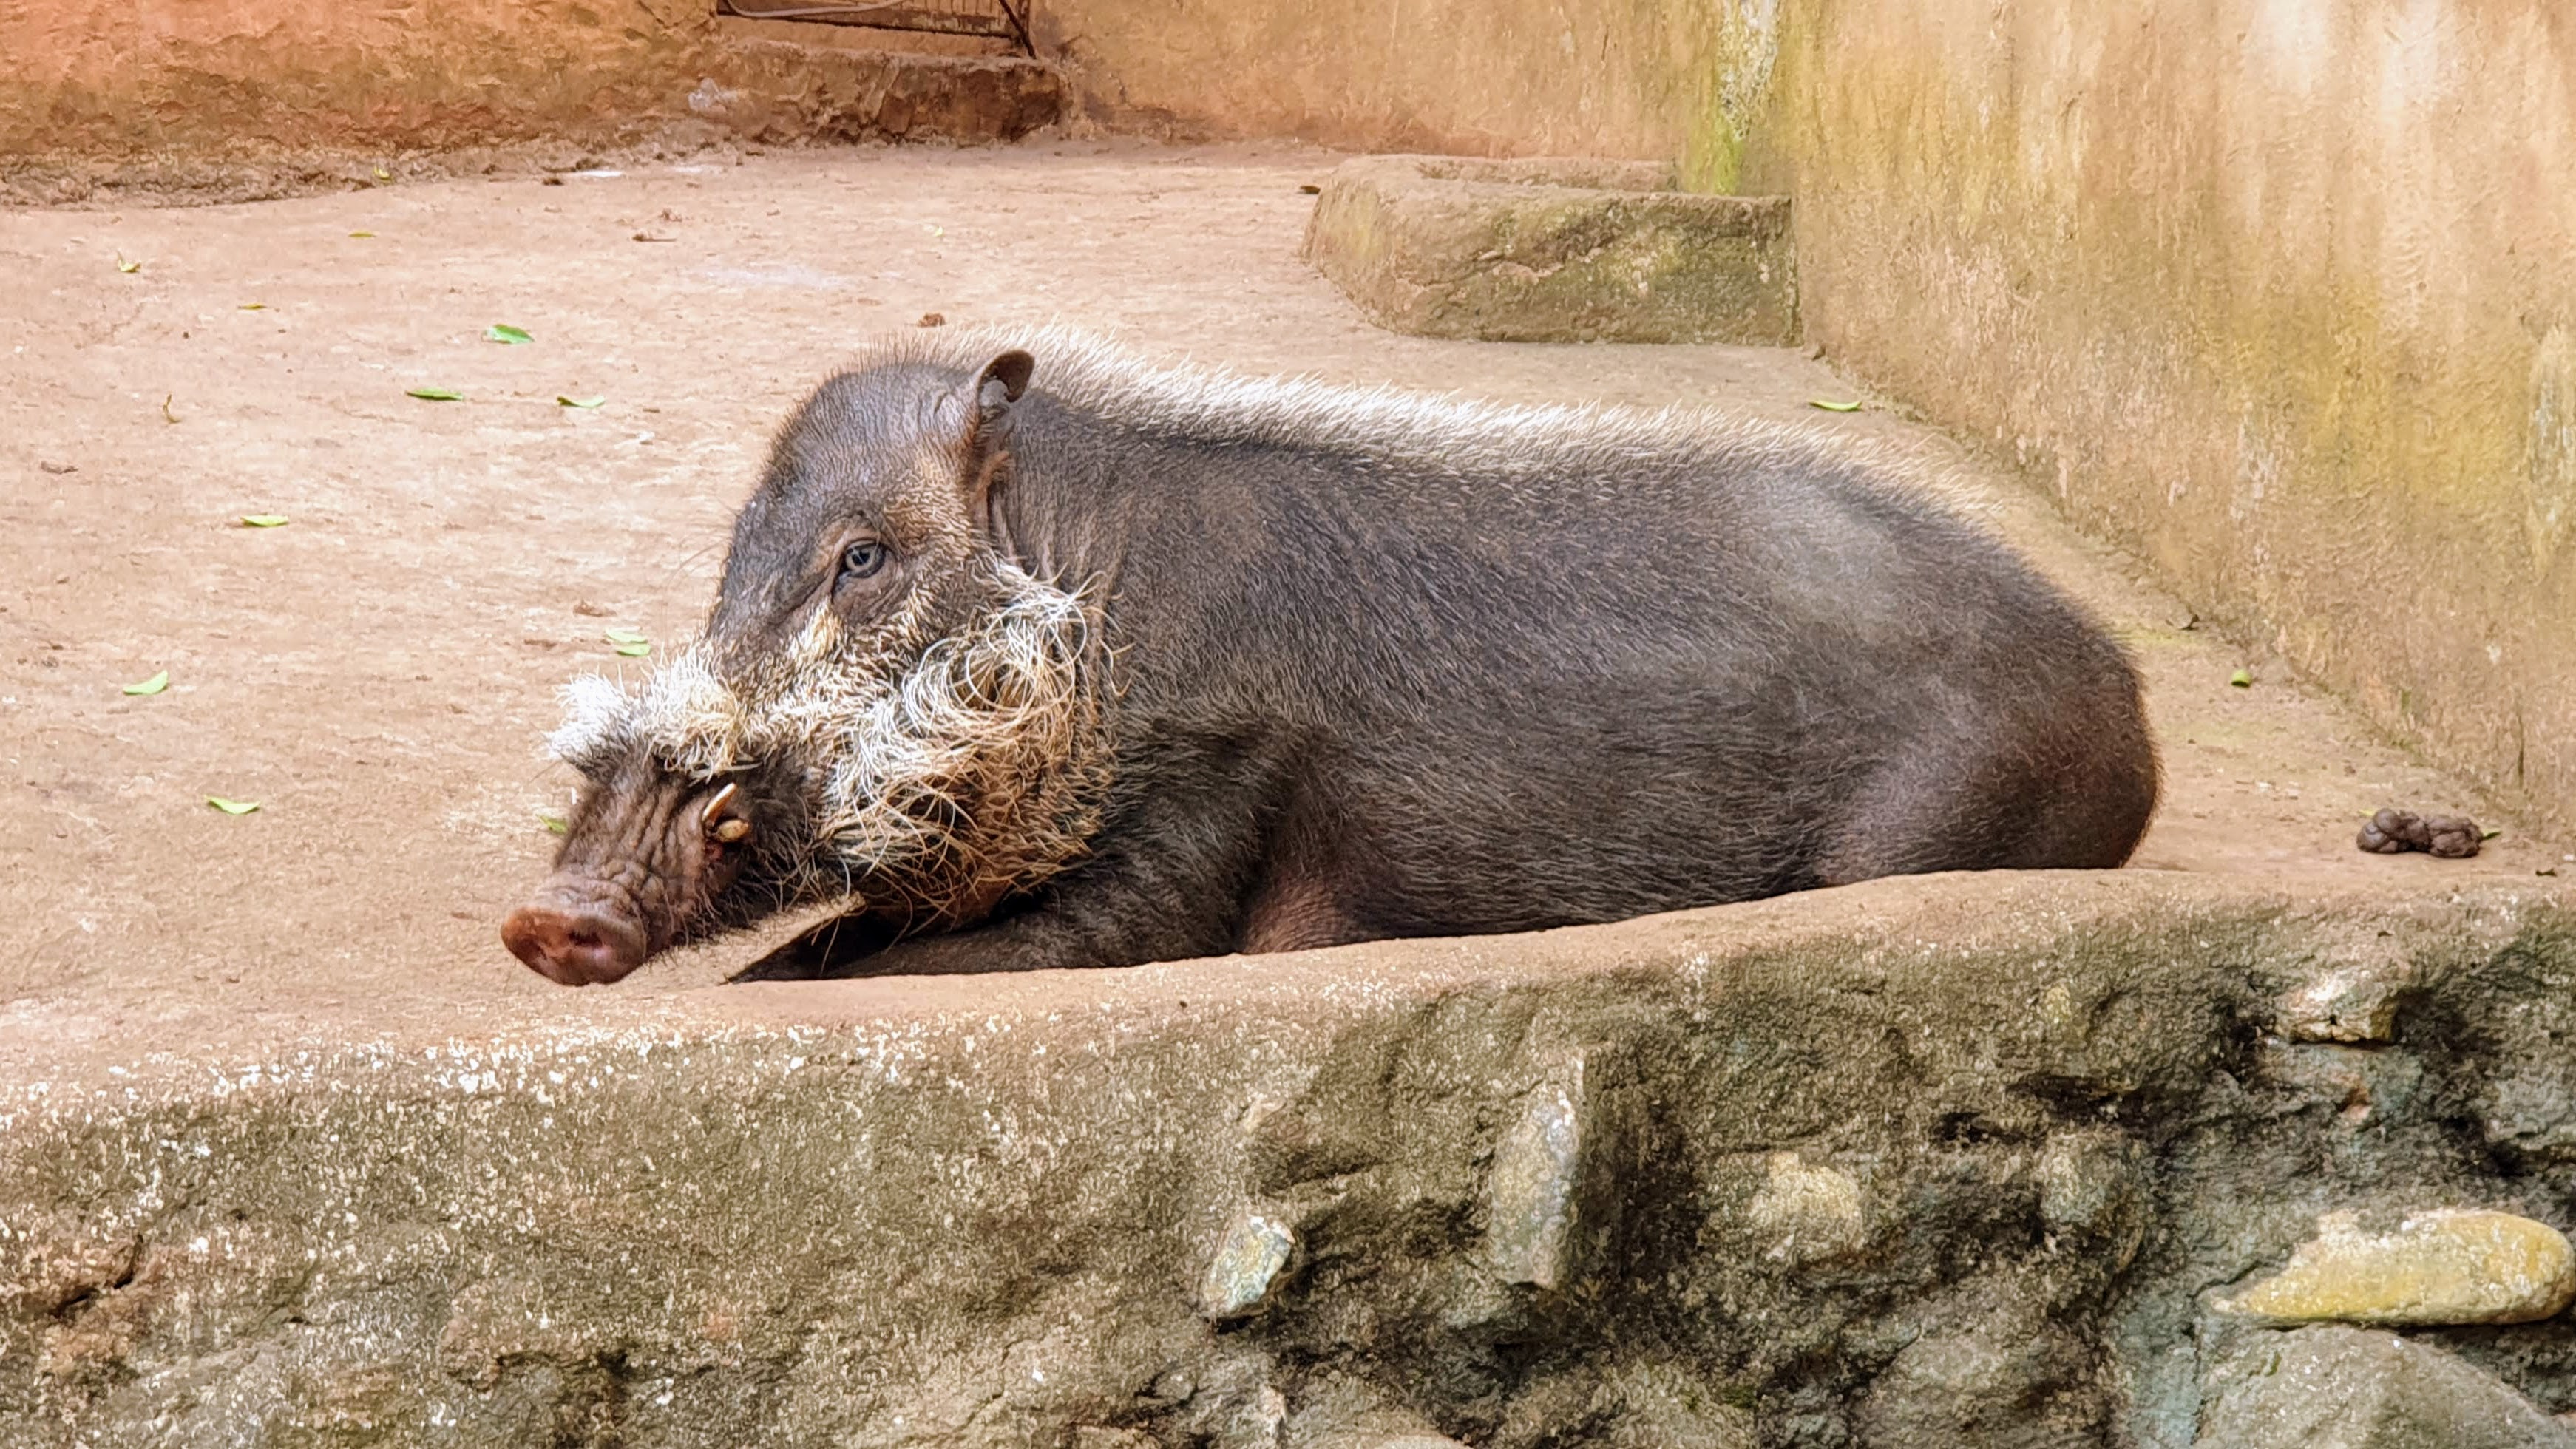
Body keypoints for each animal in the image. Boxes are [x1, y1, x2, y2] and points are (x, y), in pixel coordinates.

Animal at [503, 328, 2158, 986]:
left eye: (863, 559)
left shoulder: (1188, 844)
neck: (1090, 608)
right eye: (733, 552)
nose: (547, 917)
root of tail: (2131, 707)